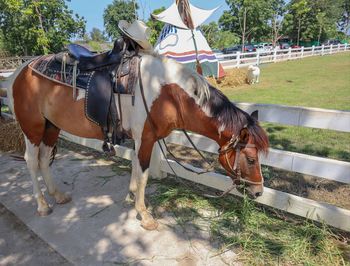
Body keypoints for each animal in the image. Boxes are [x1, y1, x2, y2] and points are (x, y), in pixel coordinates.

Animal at [7, 53, 268, 229]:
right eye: (251, 159)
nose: (258, 192)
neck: (168, 94)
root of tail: (18, 72)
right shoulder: (146, 138)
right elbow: (143, 174)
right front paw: (144, 214)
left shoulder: (139, 139)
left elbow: (134, 167)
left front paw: (131, 197)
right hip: (33, 129)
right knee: (31, 162)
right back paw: (42, 205)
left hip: (51, 127)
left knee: (43, 160)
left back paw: (57, 195)